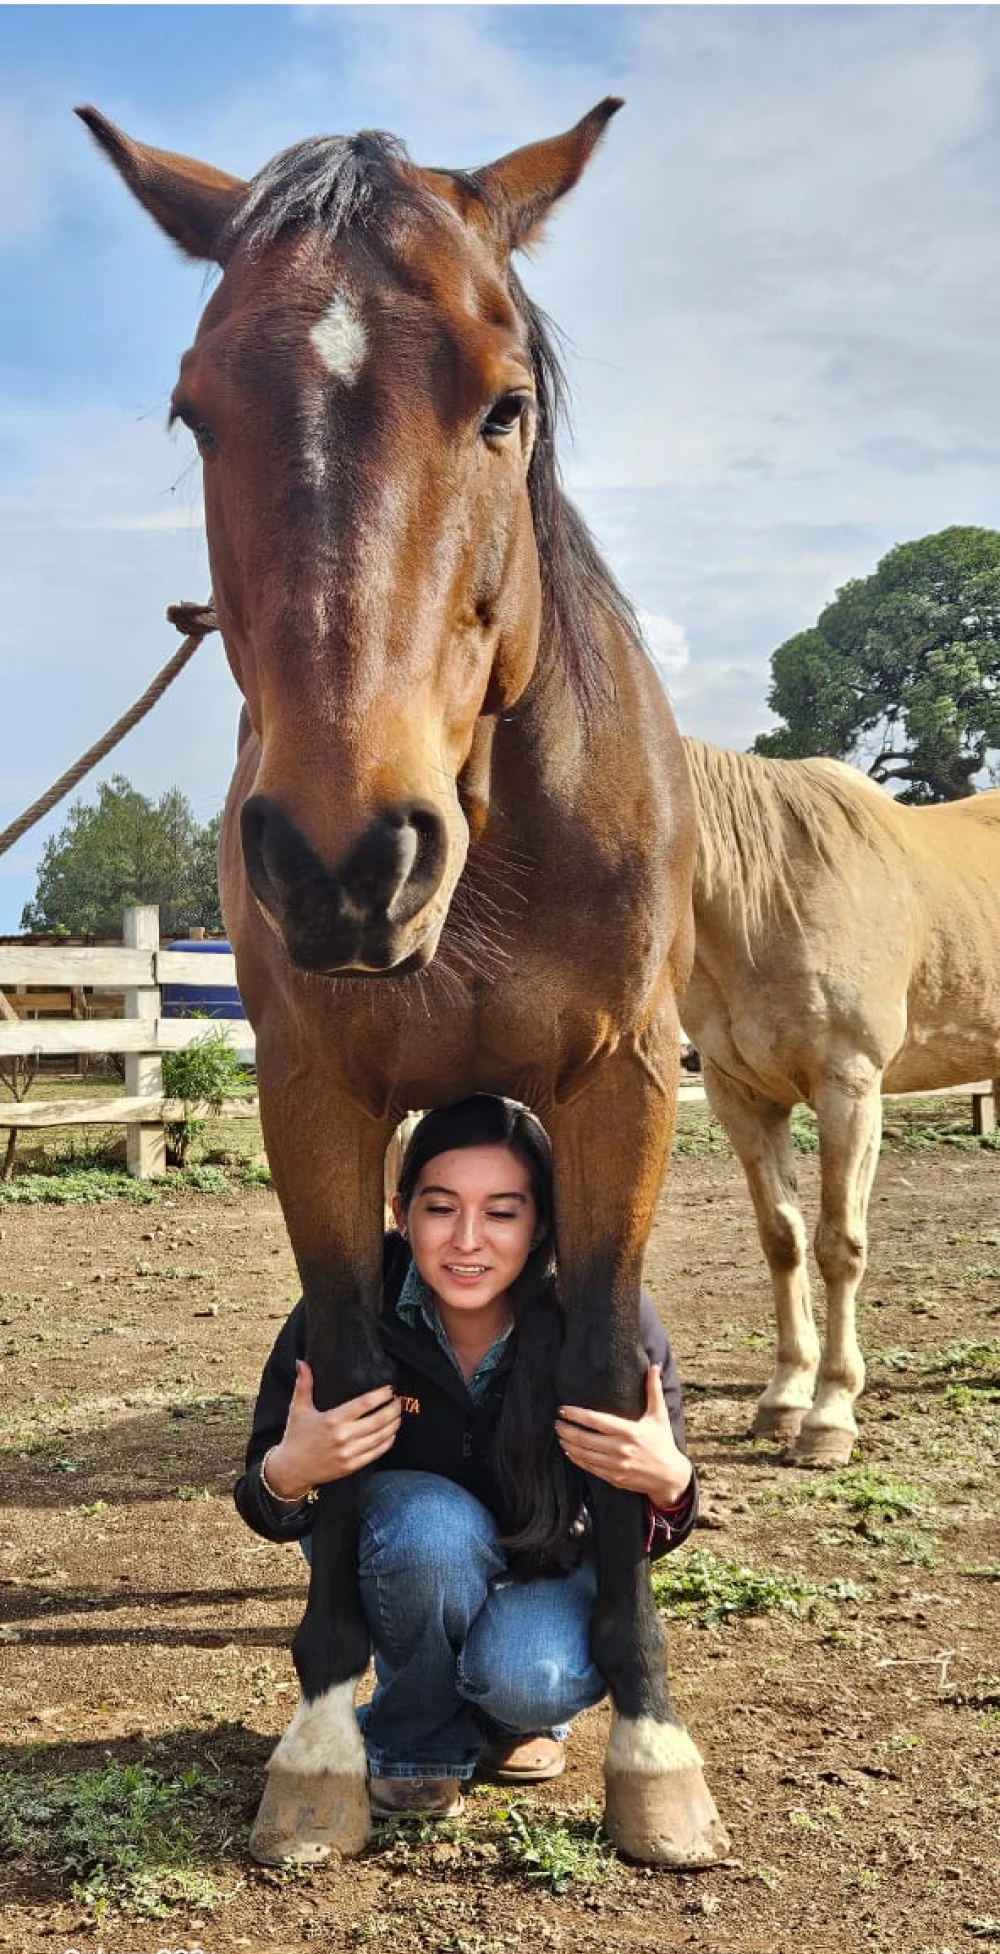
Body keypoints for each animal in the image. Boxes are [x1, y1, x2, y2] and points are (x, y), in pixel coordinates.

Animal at [78, 102, 729, 1869]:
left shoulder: (621, 1088)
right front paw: (318, 1732)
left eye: (504, 404)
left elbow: (600, 1384)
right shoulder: (313, 1093)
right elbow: (352, 1370)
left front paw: (650, 1742)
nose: (343, 858)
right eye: (196, 406)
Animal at [682, 738, 1000, 1468]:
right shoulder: (739, 1095)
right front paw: (782, 1401)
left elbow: (838, 1246)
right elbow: (783, 1240)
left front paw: (828, 1417)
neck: (762, 891)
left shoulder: (850, 1088)